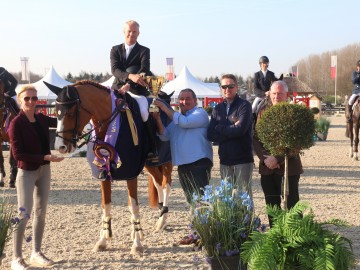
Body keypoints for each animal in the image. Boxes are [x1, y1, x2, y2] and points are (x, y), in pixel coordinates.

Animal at [43, 79, 173, 253]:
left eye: (70, 112)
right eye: (56, 112)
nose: (60, 147)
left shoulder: (131, 172)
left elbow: (134, 206)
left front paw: (137, 244)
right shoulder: (103, 173)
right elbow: (106, 206)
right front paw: (103, 241)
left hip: (167, 161)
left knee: (166, 186)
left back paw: (162, 219)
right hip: (150, 164)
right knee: (159, 183)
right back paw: (158, 220)